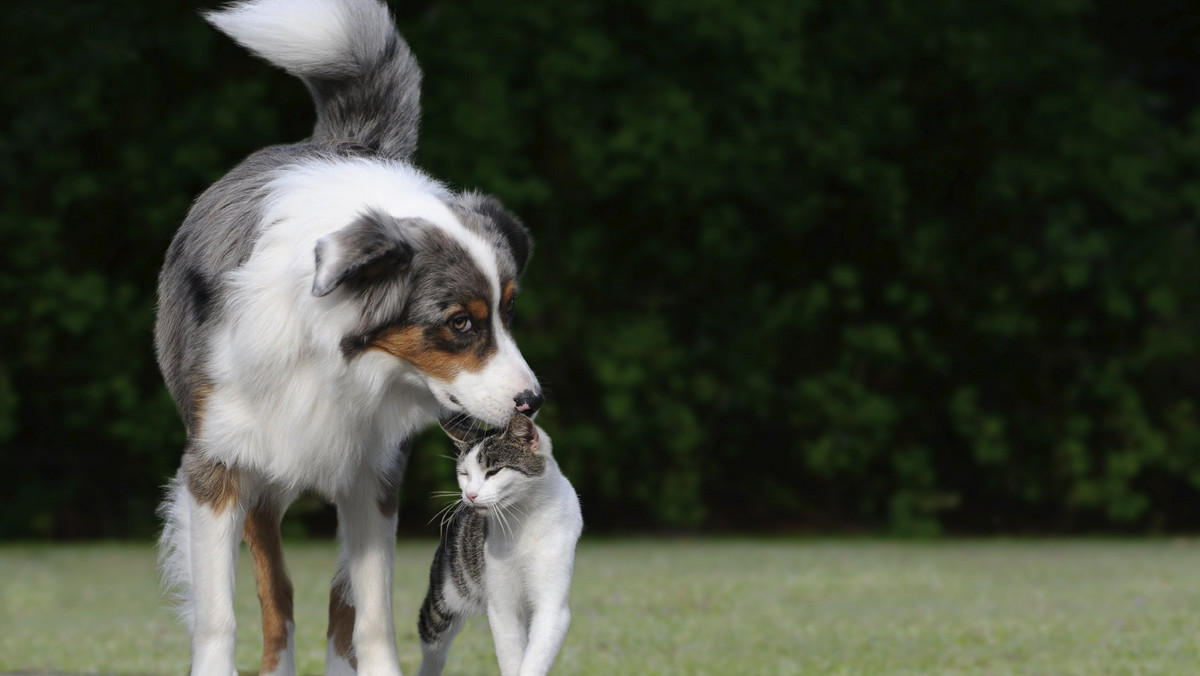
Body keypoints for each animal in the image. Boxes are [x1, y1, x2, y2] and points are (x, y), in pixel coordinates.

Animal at [154, 1, 544, 676]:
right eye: (460, 322)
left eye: (508, 310)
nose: (533, 401)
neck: (331, 357)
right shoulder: (218, 464)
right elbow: (221, 615)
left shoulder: (373, 473)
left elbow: (370, 613)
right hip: (264, 477)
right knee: (277, 594)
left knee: (341, 605)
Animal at [420, 413, 583, 676]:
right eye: (464, 474)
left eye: (493, 471)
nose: (470, 494)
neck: (524, 517)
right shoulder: (502, 605)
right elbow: (510, 655)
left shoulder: (552, 606)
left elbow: (534, 658)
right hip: (443, 598)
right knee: (433, 650)